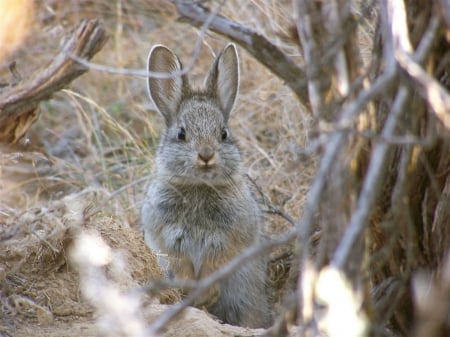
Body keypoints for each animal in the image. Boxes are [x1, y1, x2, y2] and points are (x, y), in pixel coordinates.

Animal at [141, 42, 272, 328]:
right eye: (181, 133)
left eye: (223, 133)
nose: (206, 155)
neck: (199, 186)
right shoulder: (167, 238)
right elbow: (180, 265)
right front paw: (191, 292)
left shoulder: (230, 239)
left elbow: (218, 264)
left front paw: (206, 294)